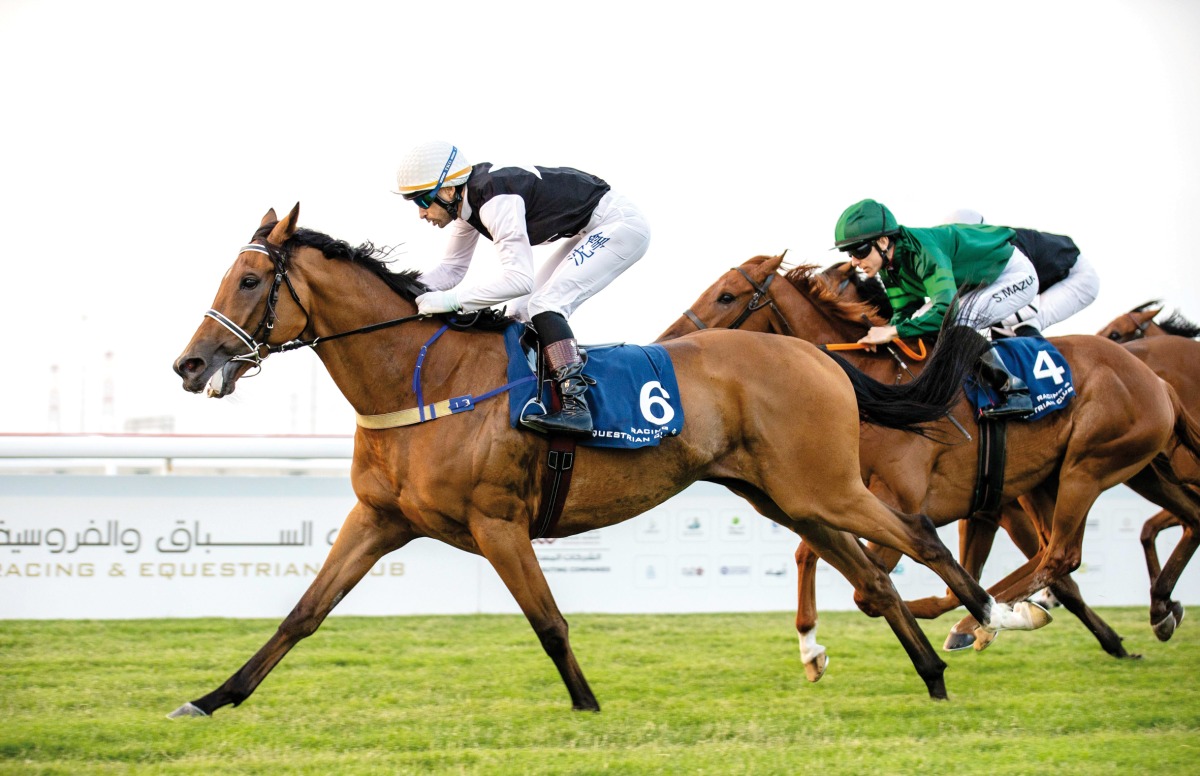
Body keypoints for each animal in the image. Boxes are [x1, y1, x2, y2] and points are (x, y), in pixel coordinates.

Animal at [169, 206, 1051, 714]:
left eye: (249, 279)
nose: (189, 363)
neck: (425, 380)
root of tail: (822, 358)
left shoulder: (497, 522)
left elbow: (549, 623)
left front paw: (588, 708)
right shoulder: (380, 518)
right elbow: (302, 614)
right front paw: (213, 698)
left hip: (826, 486)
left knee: (922, 541)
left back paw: (998, 618)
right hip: (785, 494)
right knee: (871, 575)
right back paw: (930, 673)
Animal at [657, 255, 1200, 681]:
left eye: (727, 295)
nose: (670, 340)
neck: (884, 391)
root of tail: (1153, 378)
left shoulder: (904, 501)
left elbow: (876, 582)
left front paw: (975, 618)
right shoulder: (847, 494)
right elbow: (810, 554)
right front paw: (812, 650)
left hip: (1087, 469)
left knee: (1061, 556)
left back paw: (981, 621)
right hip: (1132, 471)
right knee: (1177, 522)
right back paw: (1156, 608)